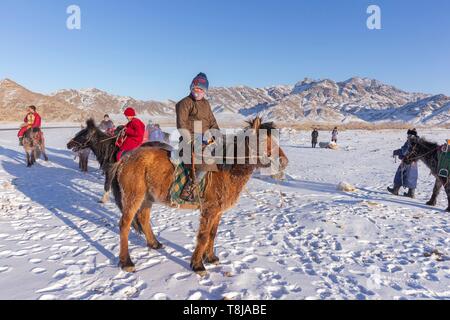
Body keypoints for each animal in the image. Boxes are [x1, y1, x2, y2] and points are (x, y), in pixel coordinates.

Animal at [110, 119, 290, 274]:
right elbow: (203, 237)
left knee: (144, 219)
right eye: (262, 140)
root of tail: (126, 159)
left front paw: (210, 257)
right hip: (133, 197)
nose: (283, 162)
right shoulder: (209, 210)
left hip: (147, 198)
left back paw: (154, 244)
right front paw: (197, 265)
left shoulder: (218, 212)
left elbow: (212, 234)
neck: (226, 170)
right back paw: (126, 262)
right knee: (124, 225)